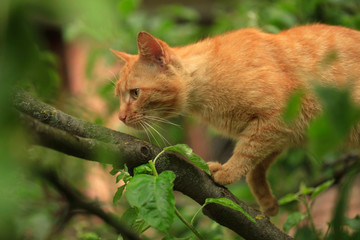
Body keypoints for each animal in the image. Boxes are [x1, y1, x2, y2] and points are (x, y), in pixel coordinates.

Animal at [112, 24, 360, 216]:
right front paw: (267, 202)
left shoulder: (276, 117)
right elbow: (256, 168)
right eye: (119, 96)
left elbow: (246, 151)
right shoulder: (281, 133)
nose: (121, 117)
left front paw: (228, 171)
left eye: (135, 93)